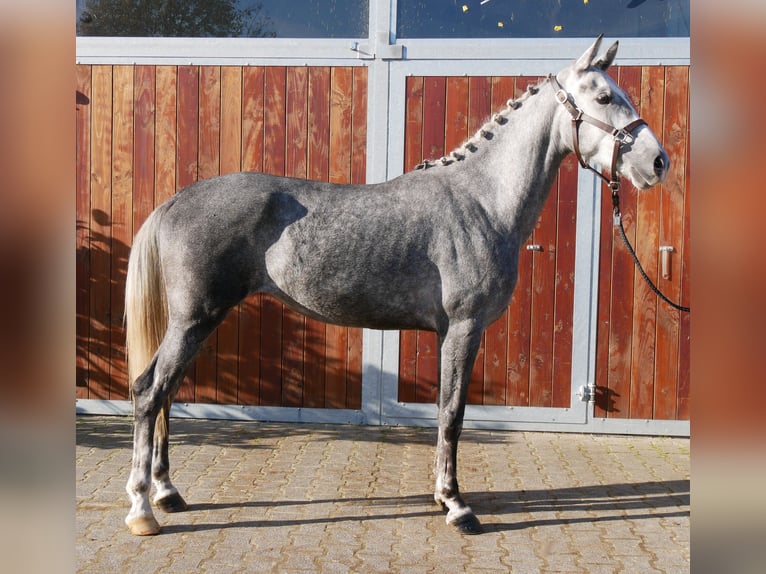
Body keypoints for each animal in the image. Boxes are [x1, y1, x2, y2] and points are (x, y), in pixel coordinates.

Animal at [123, 37, 668, 540]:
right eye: (604, 97)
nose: (658, 161)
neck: (481, 200)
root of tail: (174, 201)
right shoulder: (464, 328)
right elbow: (453, 414)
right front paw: (457, 506)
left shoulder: (449, 333)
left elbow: (446, 410)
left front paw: (443, 495)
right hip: (195, 319)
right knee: (151, 392)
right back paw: (143, 509)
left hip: (194, 322)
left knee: (163, 392)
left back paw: (168, 493)